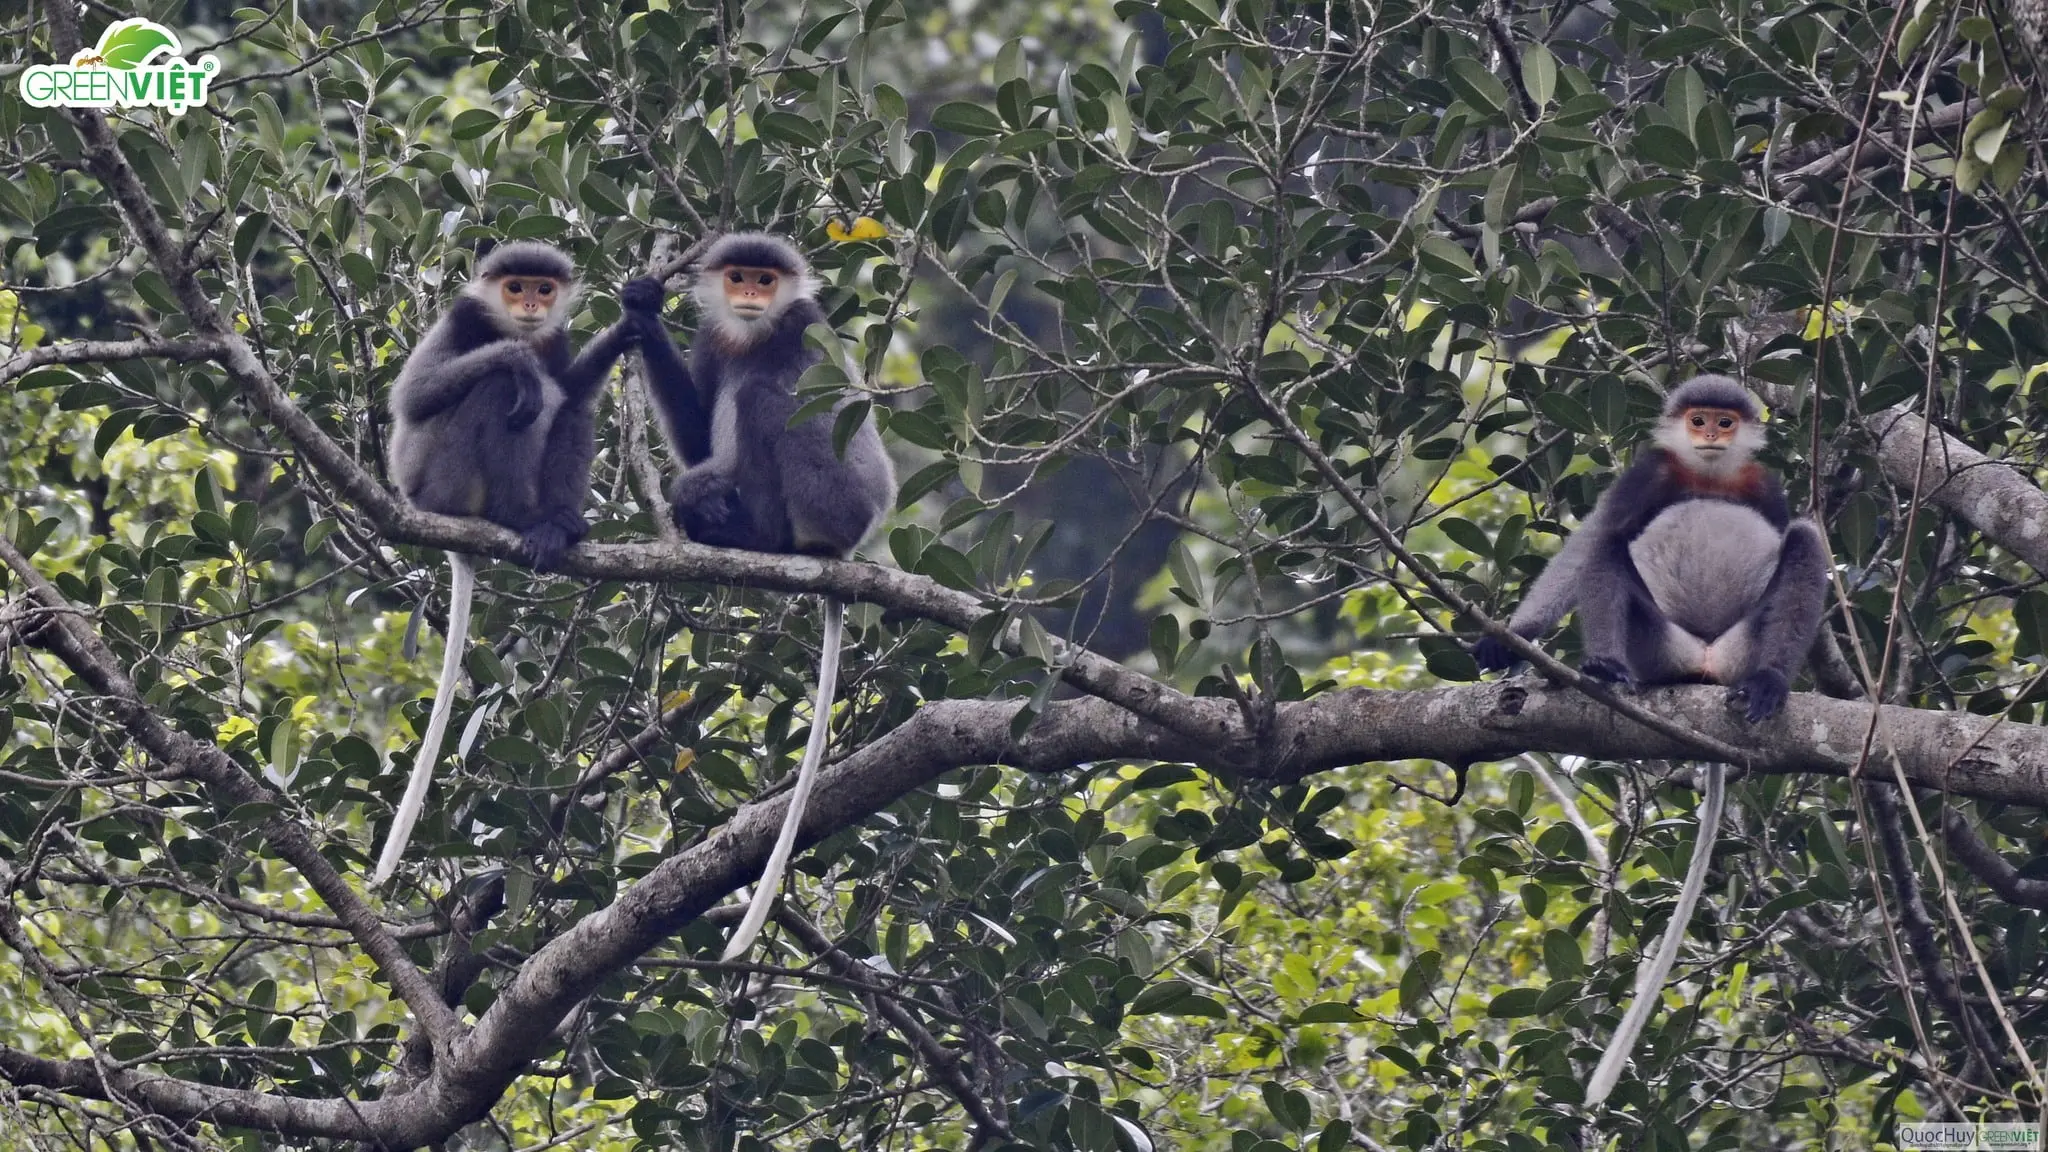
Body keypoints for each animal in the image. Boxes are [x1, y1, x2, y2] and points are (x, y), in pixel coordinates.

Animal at [622, 230, 897, 951]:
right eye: (740, 276)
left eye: (767, 281)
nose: (750, 294)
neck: (752, 336)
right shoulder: (712, 341)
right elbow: (695, 434)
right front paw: (642, 306)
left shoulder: (804, 326)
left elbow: (805, 398)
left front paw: (702, 491)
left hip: (836, 500)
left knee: (768, 401)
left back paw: (757, 535)